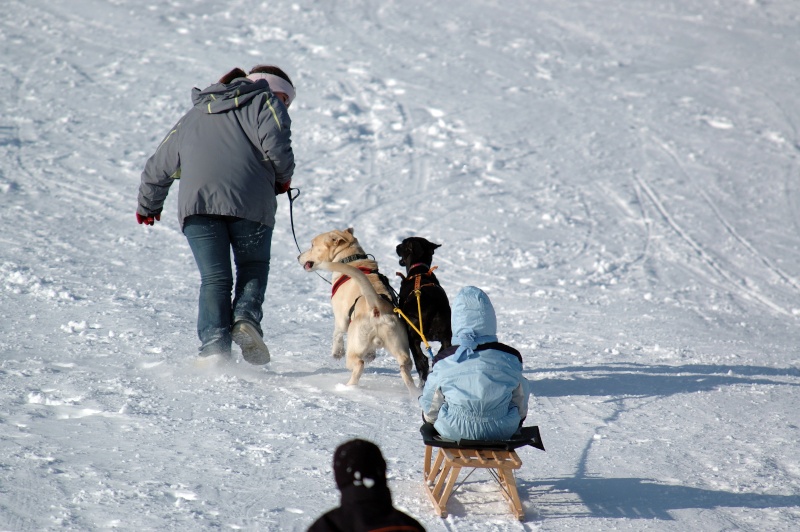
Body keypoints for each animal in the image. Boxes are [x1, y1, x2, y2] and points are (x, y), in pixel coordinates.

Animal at [296, 229, 418, 390]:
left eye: (312, 245)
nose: (298, 256)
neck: (350, 258)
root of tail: (376, 306)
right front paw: (371, 354)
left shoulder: (341, 318)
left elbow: (337, 334)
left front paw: (337, 353)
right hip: (399, 344)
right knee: (404, 365)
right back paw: (414, 390)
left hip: (354, 346)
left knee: (358, 364)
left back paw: (348, 387)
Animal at [396, 237, 454, 382]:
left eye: (403, 243)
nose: (396, 246)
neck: (419, 270)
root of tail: (432, 306)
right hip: (446, 335)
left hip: (412, 336)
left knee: (421, 361)